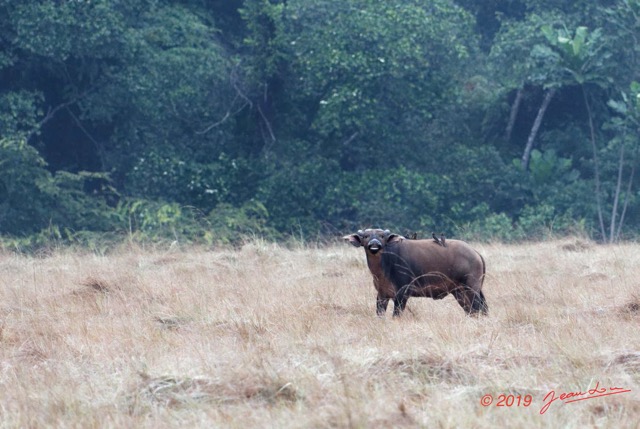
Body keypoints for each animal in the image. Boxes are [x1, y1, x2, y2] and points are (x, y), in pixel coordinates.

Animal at [344, 229, 484, 316]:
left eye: (382, 236)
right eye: (366, 236)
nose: (374, 244)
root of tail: (476, 253)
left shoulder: (402, 294)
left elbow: (396, 315)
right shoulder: (382, 295)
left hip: (471, 288)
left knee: (478, 308)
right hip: (460, 292)